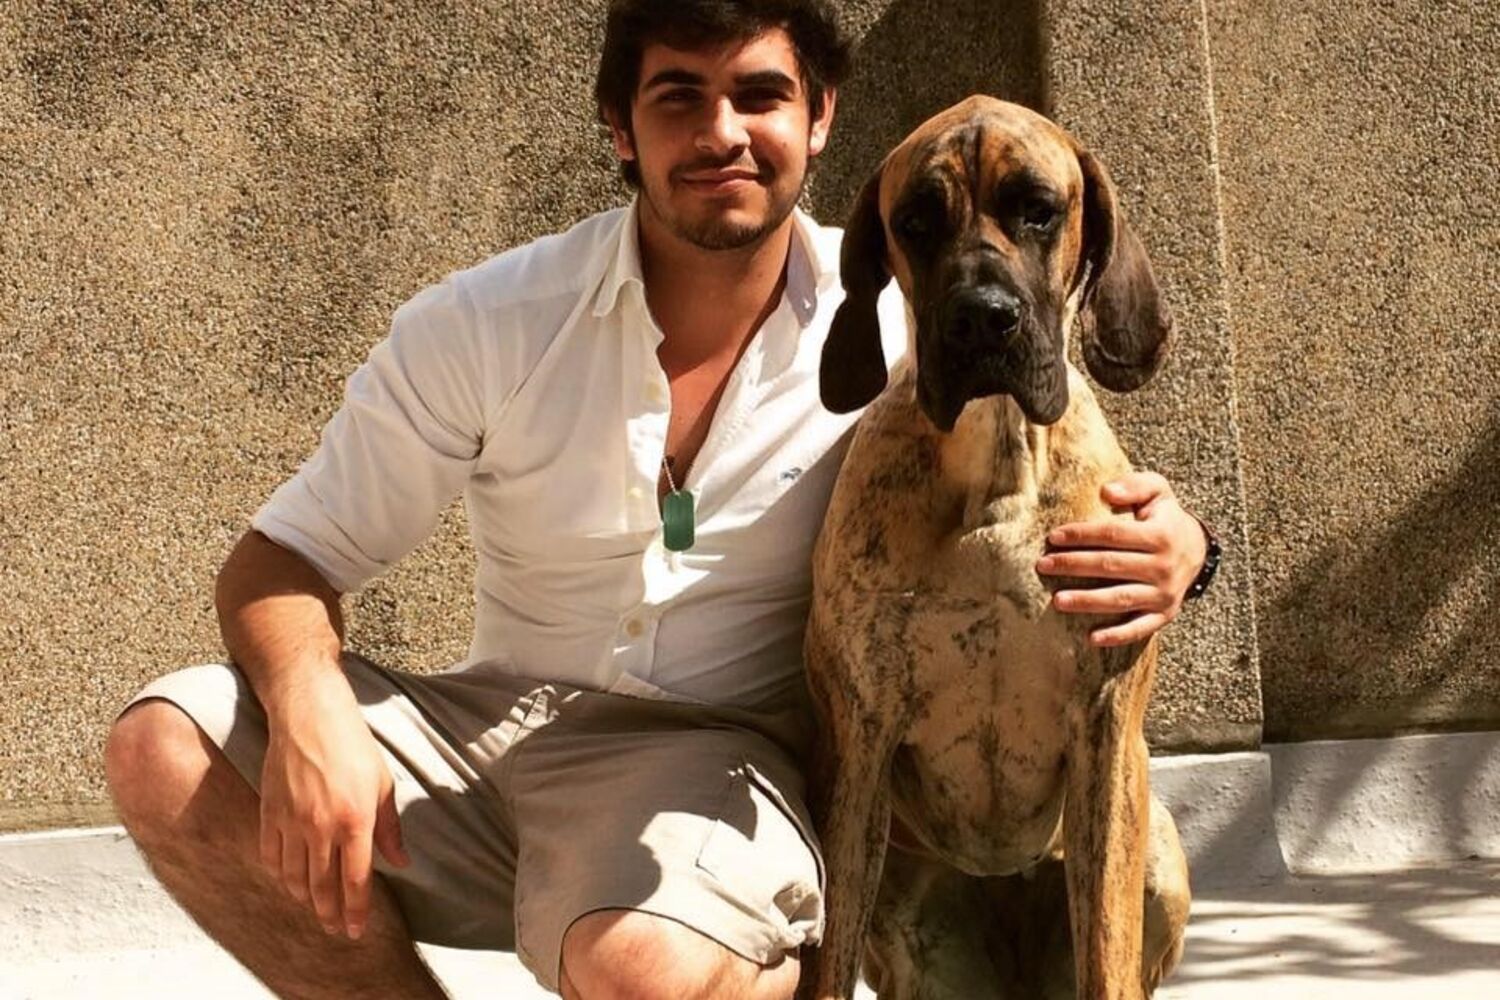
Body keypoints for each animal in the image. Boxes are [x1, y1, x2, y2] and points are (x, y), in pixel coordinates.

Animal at [799, 97, 1191, 1000]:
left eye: (1037, 209)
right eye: (914, 221)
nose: (982, 315)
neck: (995, 461)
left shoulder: (1106, 729)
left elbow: (1107, 950)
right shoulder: (859, 742)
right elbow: (828, 953)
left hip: (1157, 849)